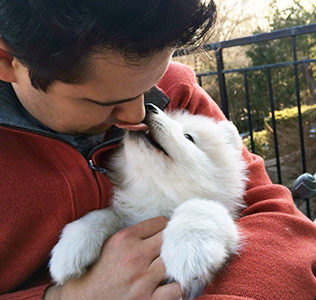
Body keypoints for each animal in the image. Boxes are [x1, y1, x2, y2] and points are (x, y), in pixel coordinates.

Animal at [48, 103, 247, 298]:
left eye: (188, 137)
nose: (150, 106)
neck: (157, 194)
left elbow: (198, 205)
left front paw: (189, 248)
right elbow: (106, 214)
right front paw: (68, 249)